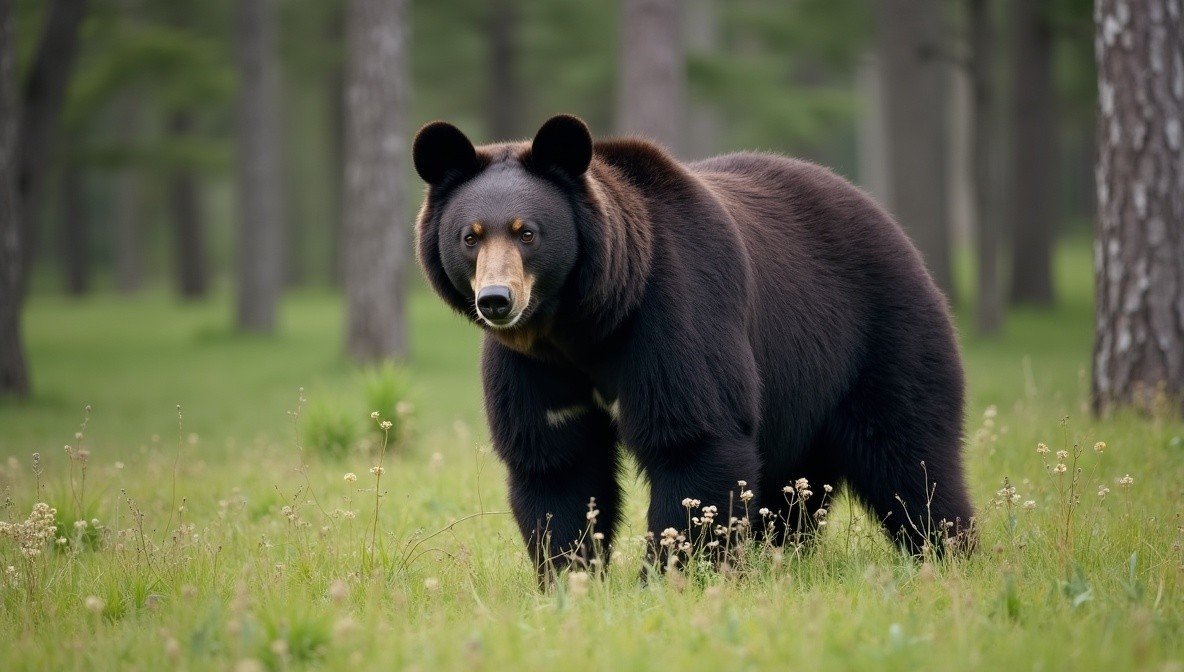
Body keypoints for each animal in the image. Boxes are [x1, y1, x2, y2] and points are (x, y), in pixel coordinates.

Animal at [413, 114, 974, 580]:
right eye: (470, 236)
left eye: (527, 232)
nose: (497, 300)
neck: (582, 324)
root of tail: (885, 218)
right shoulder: (532, 365)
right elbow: (556, 461)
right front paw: (569, 574)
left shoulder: (671, 313)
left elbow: (693, 440)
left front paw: (669, 575)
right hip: (803, 400)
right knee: (793, 492)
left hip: (879, 335)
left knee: (910, 456)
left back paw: (948, 549)